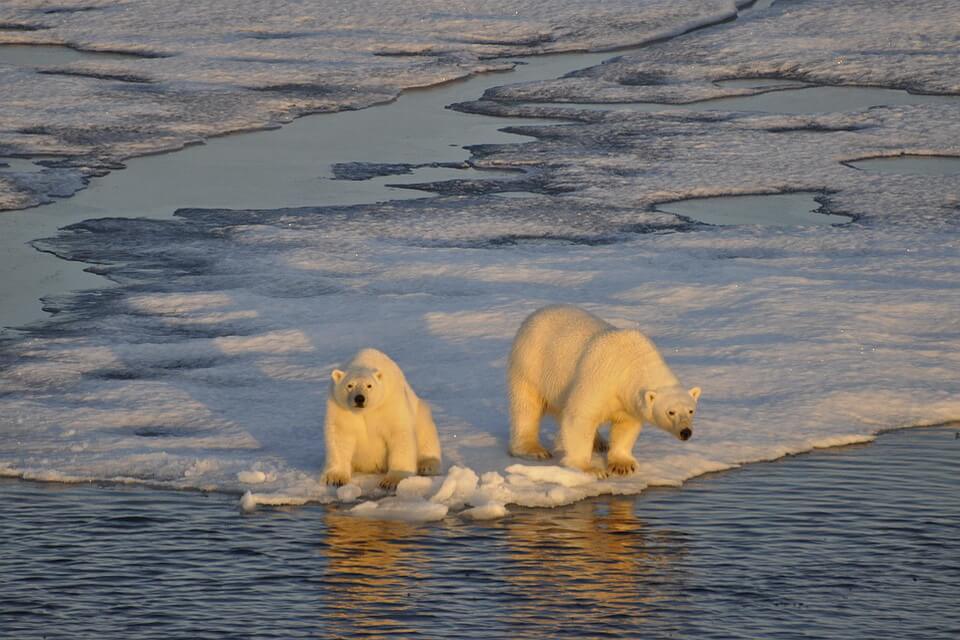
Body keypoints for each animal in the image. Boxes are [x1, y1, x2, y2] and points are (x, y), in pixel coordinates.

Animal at [322, 350, 442, 490]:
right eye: (349, 385)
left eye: (369, 385)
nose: (359, 398)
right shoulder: (340, 407)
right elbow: (340, 434)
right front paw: (336, 478)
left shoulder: (389, 402)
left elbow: (399, 433)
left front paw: (392, 480)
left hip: (420, 413)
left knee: (426, 433)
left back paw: (427, 465)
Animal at [506, 304, 700, 476]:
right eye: (671, 412)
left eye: (691, 410)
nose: (686, 432)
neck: (632, 365)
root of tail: (535, 314)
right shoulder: (600, 378)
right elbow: (580, 417)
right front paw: (590, 469)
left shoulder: (628, 400)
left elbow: (626, 425)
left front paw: (623, 465)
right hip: (531, 364)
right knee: (527, 406)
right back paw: (533, 449)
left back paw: (599, 443)